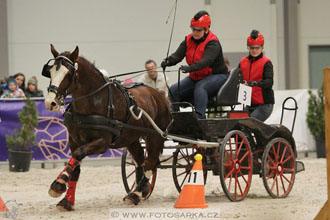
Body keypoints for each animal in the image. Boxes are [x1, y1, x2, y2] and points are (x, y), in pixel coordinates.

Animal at [42, 44, 171, 210]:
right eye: (50, 71)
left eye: (69, 73)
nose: (50, 102)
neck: (95, 101)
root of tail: (159, 94)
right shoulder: (74, 140)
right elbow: (76, 166)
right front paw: (66, 201)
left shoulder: (102, 143)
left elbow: (78, 154)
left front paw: (58, 184)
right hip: (131, 138)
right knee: (140, 160)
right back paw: (140, 191)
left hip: (155, 136)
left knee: (151, 163)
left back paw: (136, 193)